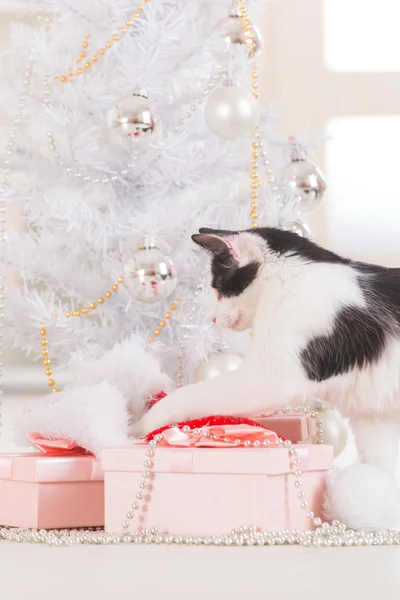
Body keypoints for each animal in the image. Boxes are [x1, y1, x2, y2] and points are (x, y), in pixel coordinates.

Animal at [134, 227, 400, 476]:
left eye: (218, 288)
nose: (212, 318)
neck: (290, 280)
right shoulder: (374, 418)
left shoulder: (269, 378)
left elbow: (188, 395)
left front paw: (142, 423)